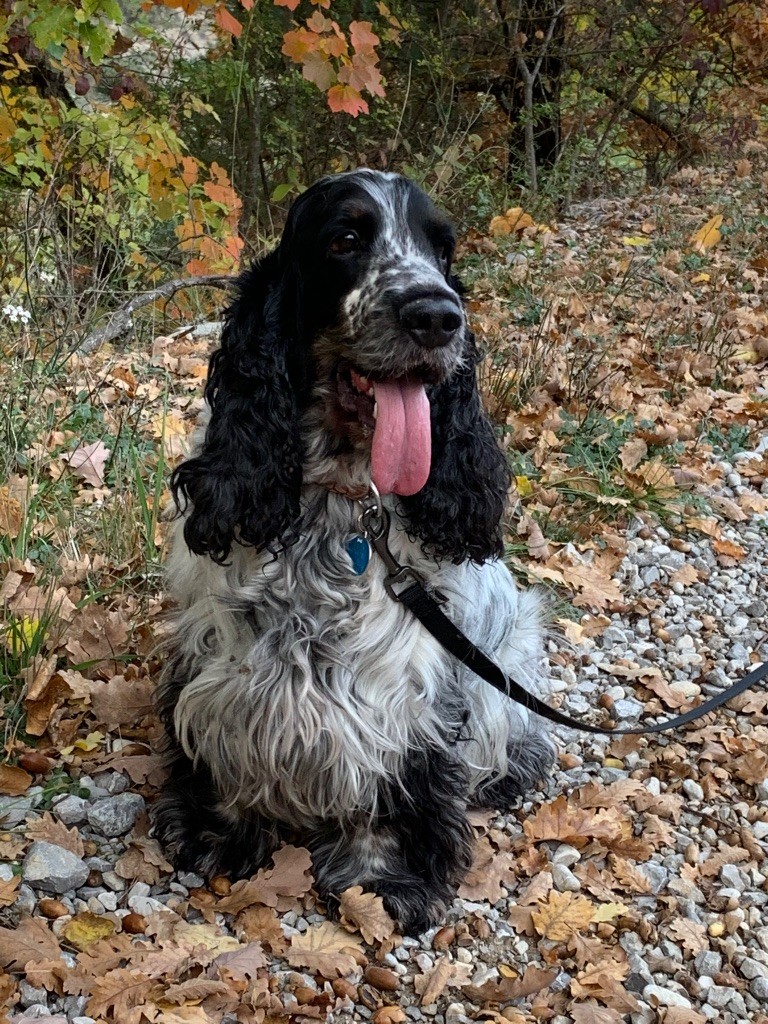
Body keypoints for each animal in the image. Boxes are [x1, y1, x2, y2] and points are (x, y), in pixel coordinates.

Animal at [153, 169, 555, 933]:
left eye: (443, 249)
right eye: (344, 239)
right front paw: (221, 832)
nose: (438, 316)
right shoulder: (220, 658)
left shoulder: (408, 691)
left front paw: (383, 876)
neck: (341, 499)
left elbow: (392, 781)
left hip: (508, 647)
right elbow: (221, 744)